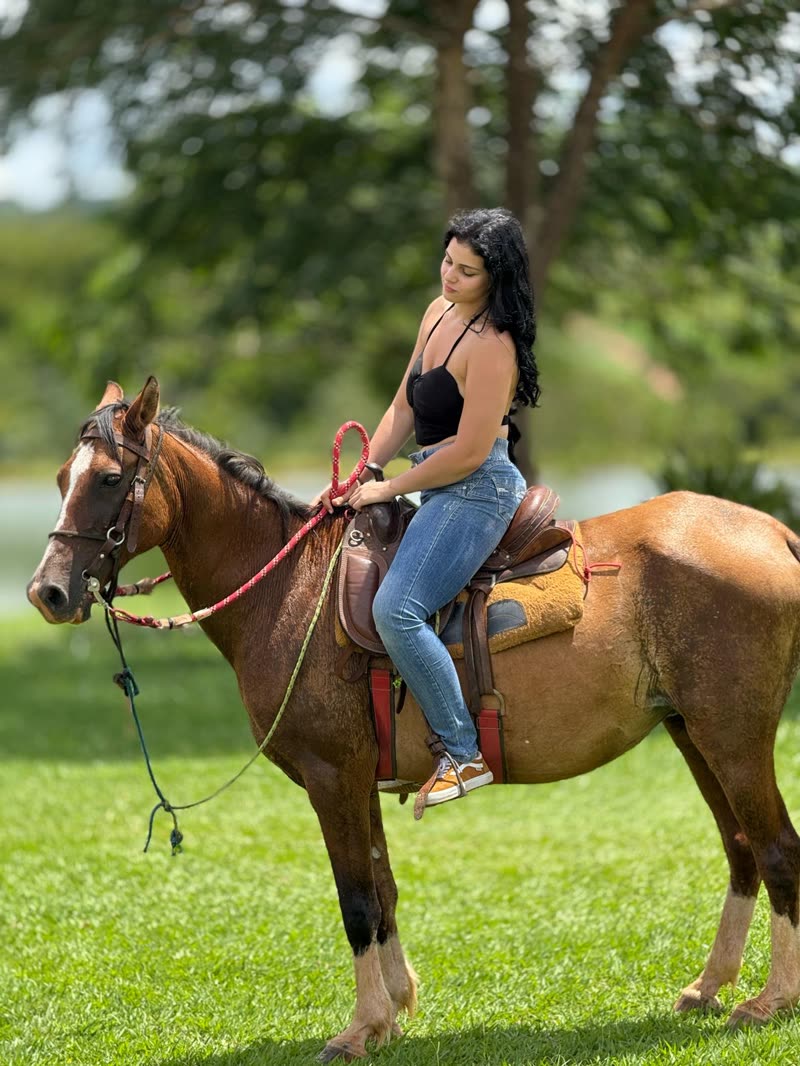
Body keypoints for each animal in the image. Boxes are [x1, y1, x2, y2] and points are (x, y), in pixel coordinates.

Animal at [27, 377, 800, 1061]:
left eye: (107, 479)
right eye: (63, 475)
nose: (48, 592)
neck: (291, 591)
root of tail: (773, 533)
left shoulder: (331, 777)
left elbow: (358, 902)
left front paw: (358, 1030)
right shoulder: (357, 779)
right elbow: (384, 891)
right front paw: (393, 1012)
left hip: (733, 738)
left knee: (777, 850)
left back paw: (769, 1001)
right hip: (691, 732)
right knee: (741, 850)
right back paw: (709, 988)